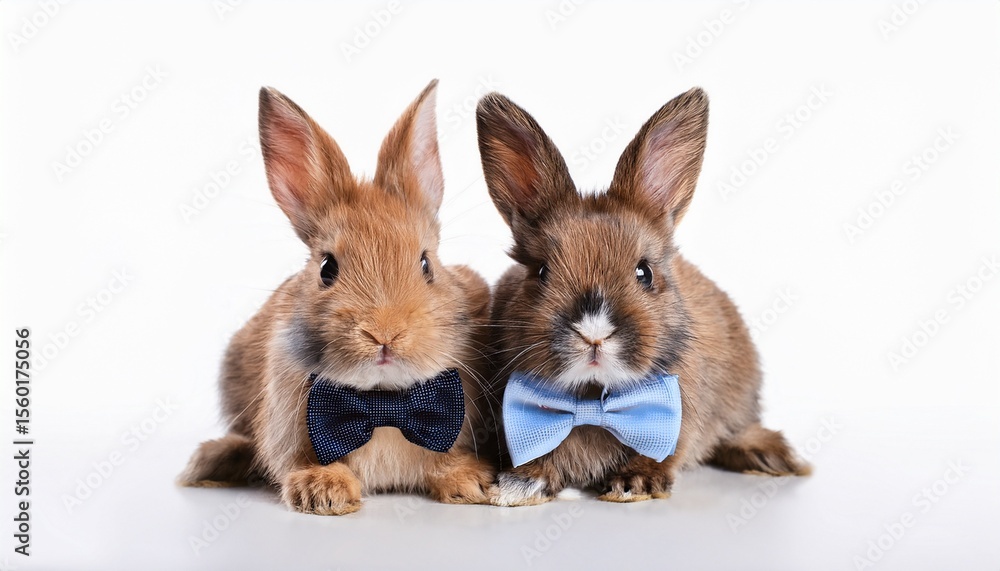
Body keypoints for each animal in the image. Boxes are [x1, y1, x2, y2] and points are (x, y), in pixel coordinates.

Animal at [178, 80, 498, 515]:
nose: (384, 334)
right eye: (327, 268)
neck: (383, 405)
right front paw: (324, 492)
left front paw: (470, 483)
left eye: (426, 264)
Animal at [476, 87, 810, 506]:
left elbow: (664, 454)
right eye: (541, 272)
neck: (592, 400)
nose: (594, 333)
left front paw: (632, 484)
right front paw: (517, 486)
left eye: (644, 272)